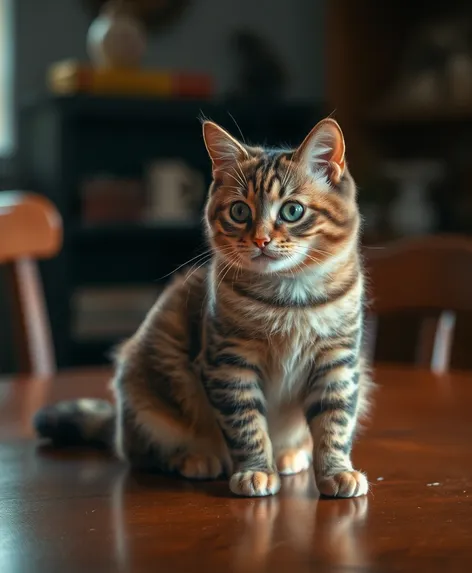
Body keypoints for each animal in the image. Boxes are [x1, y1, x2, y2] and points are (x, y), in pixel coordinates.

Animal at [34, 116, 372, 496]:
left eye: (292, 210)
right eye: (239, 211)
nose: (260, 239)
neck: (289, 298)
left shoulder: (337, 361)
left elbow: (335, 422)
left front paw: (336, 471)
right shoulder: (230, 362)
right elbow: (247, 425)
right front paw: (255, 470)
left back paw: (290, 455)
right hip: (147, 395)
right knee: (143, 452)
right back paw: (196, 459)